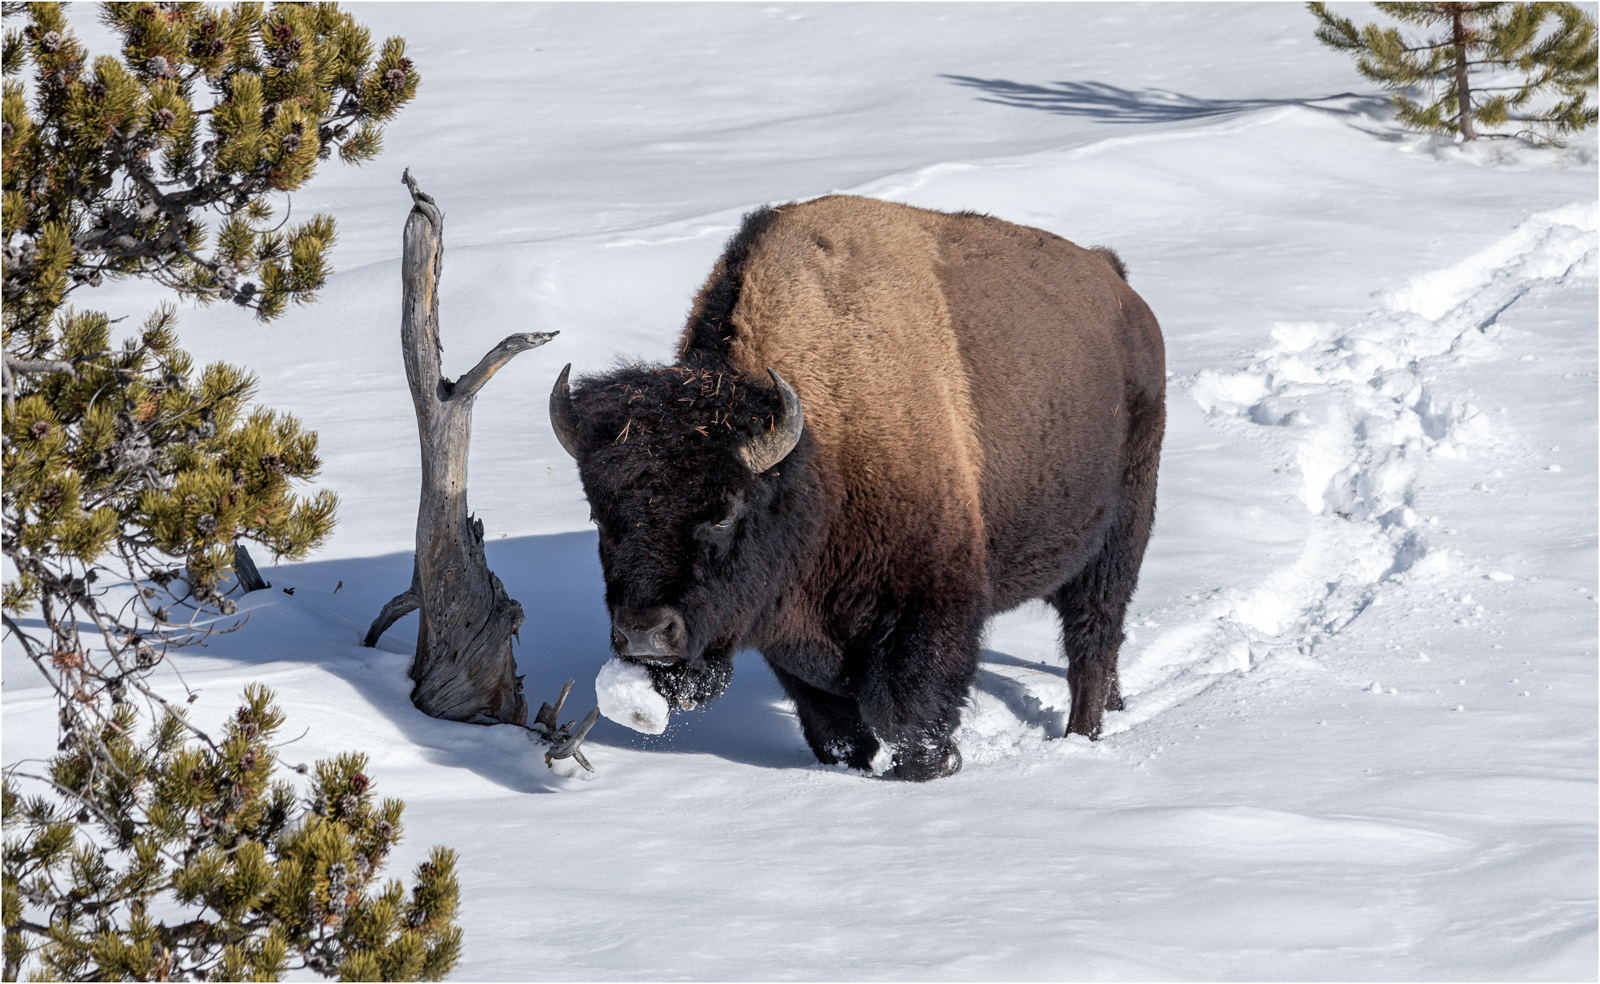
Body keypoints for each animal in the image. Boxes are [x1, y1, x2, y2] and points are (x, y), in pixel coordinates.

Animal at [550, 194, 1164, 780]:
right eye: (600, 516)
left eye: (724, 511)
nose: (644, 634)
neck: (817, 451)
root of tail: (1120, 289)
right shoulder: (792, 636)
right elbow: (835, 731)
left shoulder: (928, 608)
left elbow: (909, 720)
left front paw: (934, 768)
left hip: (1118, 538)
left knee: (1092, 640)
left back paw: (1082, 735)